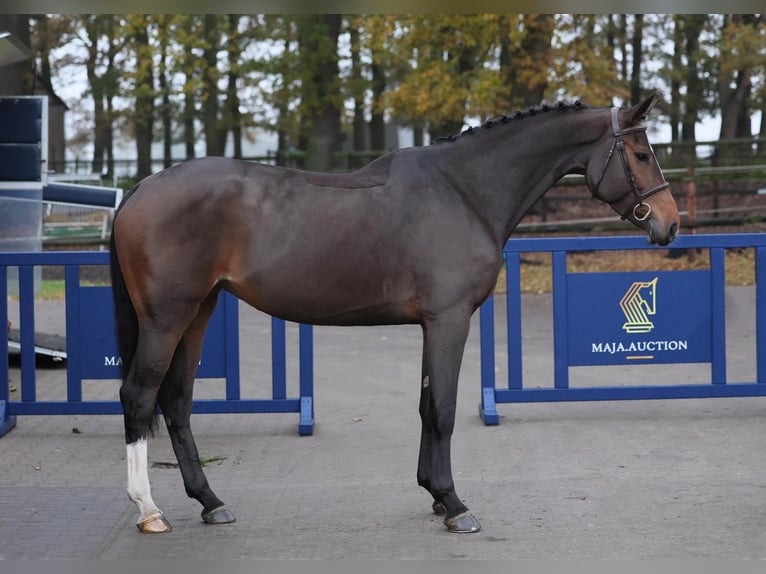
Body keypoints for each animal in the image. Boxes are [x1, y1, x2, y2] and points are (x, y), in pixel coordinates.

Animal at [111, 93, 680, 536]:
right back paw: (148, 510)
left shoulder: (433, 324)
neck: (464, 190)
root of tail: (143, 187)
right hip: (167, 318)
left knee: (177, 402)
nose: (670, 224)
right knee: (139, 396)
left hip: (198, 313)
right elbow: (445, 409)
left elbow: (428, 406)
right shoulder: (450, 319)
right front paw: (455, 505)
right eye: (641, 153)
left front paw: (434, 493)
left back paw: (210, 502)